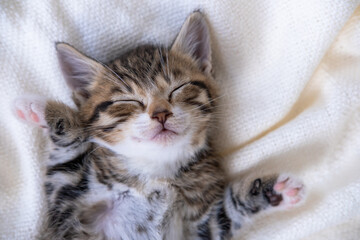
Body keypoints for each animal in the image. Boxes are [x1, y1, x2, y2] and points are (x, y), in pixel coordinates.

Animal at [14, 12, 306, 239]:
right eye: (128, 101)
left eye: (178, 88)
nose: (161, 113)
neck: (158, 172)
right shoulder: (64, 206)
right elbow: (64, 159)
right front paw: (40, 107)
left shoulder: (201, 229)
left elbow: (225, 214)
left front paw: (271, 191)